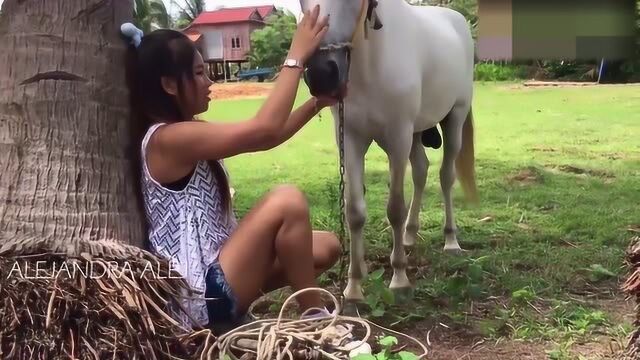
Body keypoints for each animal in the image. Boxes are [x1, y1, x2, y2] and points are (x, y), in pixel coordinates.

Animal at [300, 0, 476, 300]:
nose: (322, 74)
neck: (372, 65)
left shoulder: (398, 138)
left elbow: (394, 208)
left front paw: (400, 278)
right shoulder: (351, 140)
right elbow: (354, 211)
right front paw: (354, 287)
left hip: (454, 118)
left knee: (445, 176)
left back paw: (451, 240)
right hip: (416, 133)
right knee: (421, 171)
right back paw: (409, 235)